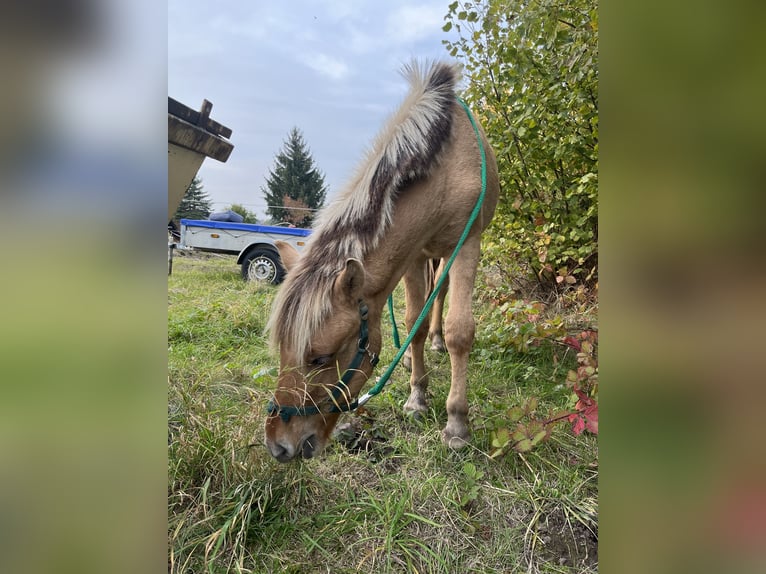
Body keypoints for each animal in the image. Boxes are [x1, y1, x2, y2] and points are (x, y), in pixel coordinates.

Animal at [268, 62, 500, 464]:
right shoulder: (412, 255)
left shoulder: (467, 244)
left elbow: (459, 331)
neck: (446, 168)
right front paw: (417, 396)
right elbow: (412, 323)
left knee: (440, 299)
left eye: (320, 358)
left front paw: (456, 423)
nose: (278, 445)